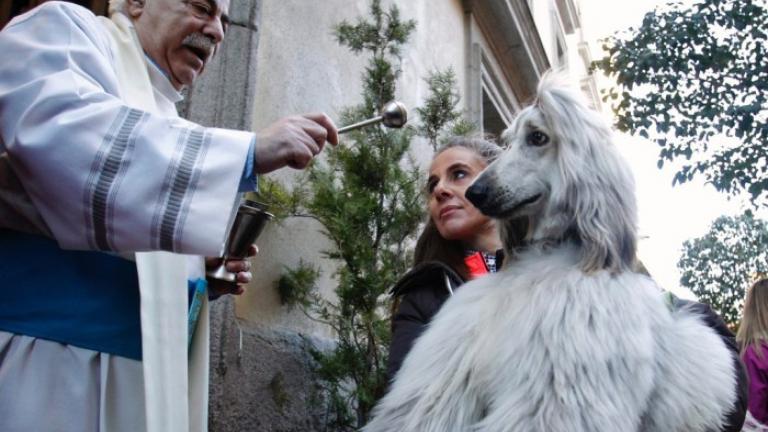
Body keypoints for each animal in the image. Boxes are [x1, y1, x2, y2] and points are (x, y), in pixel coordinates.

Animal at [366, 77, 736, 432]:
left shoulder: (557, 385)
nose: (475, 192)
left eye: (538, 137)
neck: (546, 256)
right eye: (508, 141)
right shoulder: (452, 360)